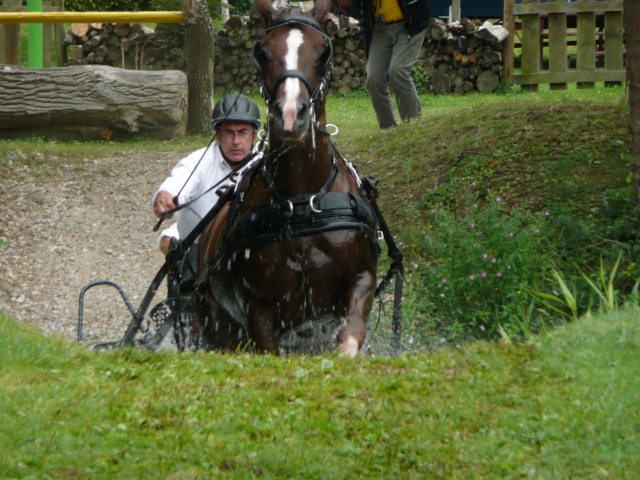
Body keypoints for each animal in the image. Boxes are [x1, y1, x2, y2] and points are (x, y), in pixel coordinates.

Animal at [195, 0, 380, 356]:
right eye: (262, 52)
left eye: (323, 52)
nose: (291, 114)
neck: (304, 201)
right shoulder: (258, 309)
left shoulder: (361, 281)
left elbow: (350, 338)